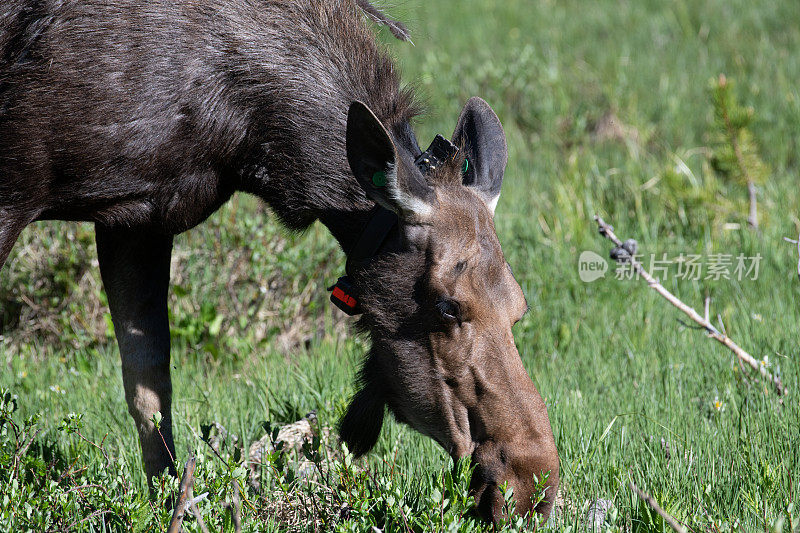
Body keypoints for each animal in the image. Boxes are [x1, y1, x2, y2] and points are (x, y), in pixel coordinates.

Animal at [1, 0, 556, 520]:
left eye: (519, 306)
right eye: (447, 307)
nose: (532, 486)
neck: (253, 138)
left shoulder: (139, 217)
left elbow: (149, 389)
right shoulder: (18, 190)